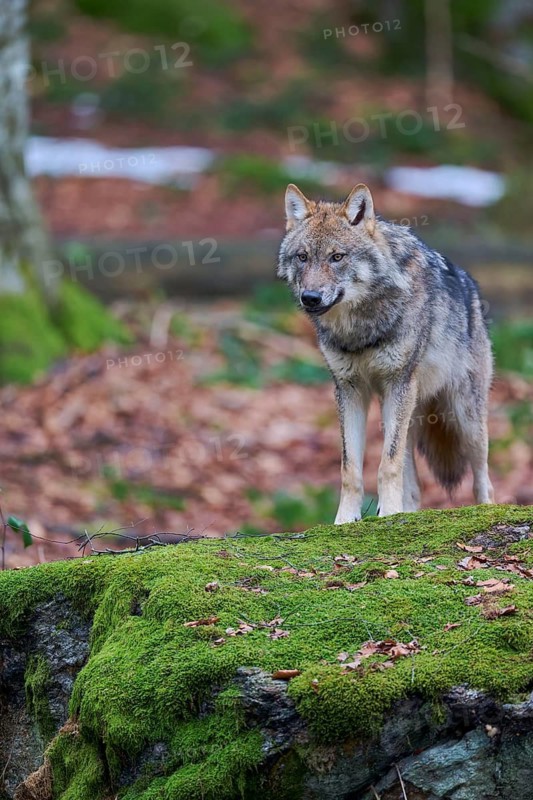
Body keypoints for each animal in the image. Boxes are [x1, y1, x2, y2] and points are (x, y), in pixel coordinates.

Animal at [278, 183, 494, 522]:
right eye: (302, 257)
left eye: (337, 257)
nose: (310, 297)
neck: (359, 328)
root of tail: (472, 288)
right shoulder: (349, 390)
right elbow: (350, 468)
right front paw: (345, 520)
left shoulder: (398, 383)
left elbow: (386, 465)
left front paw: (387, 514)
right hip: (402, 413)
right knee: (414, 486)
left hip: (464, 417)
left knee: (482, 478)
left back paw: (484, 509)